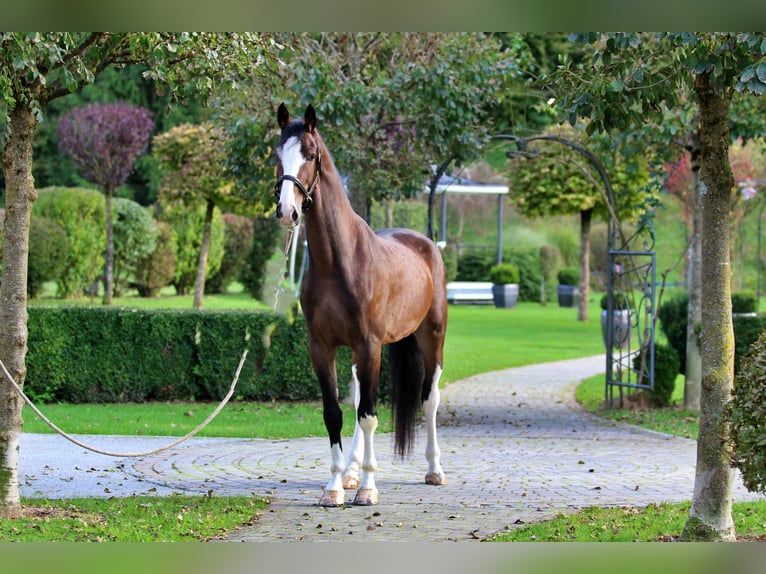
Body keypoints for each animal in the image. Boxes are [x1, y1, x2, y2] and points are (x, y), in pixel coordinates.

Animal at [274, 103, 448, 506]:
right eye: (276, 155)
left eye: (310, 153)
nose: (287, 211)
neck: (340, 262)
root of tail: (426, 244)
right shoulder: (322, 347)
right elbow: (336, 414)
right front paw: (336, 487)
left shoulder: (370, 345)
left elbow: (369, 415)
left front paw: (368, 489)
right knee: (356, 404)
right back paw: (351, 473)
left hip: (430, 338)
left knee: (429, 399)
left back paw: (434, 469)